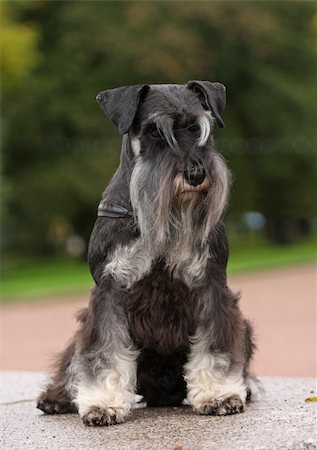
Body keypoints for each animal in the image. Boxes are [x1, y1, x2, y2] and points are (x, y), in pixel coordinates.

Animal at [37, 80, 254, 426]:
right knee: (74, 361)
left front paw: (218, 393)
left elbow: (215, 346)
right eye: (154, 132)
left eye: (199, 129)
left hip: (243, 327)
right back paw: (57, 398)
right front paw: (103, 403)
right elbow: (105, 351)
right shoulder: (109, 290)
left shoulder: (211, 285)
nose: (195, 174)